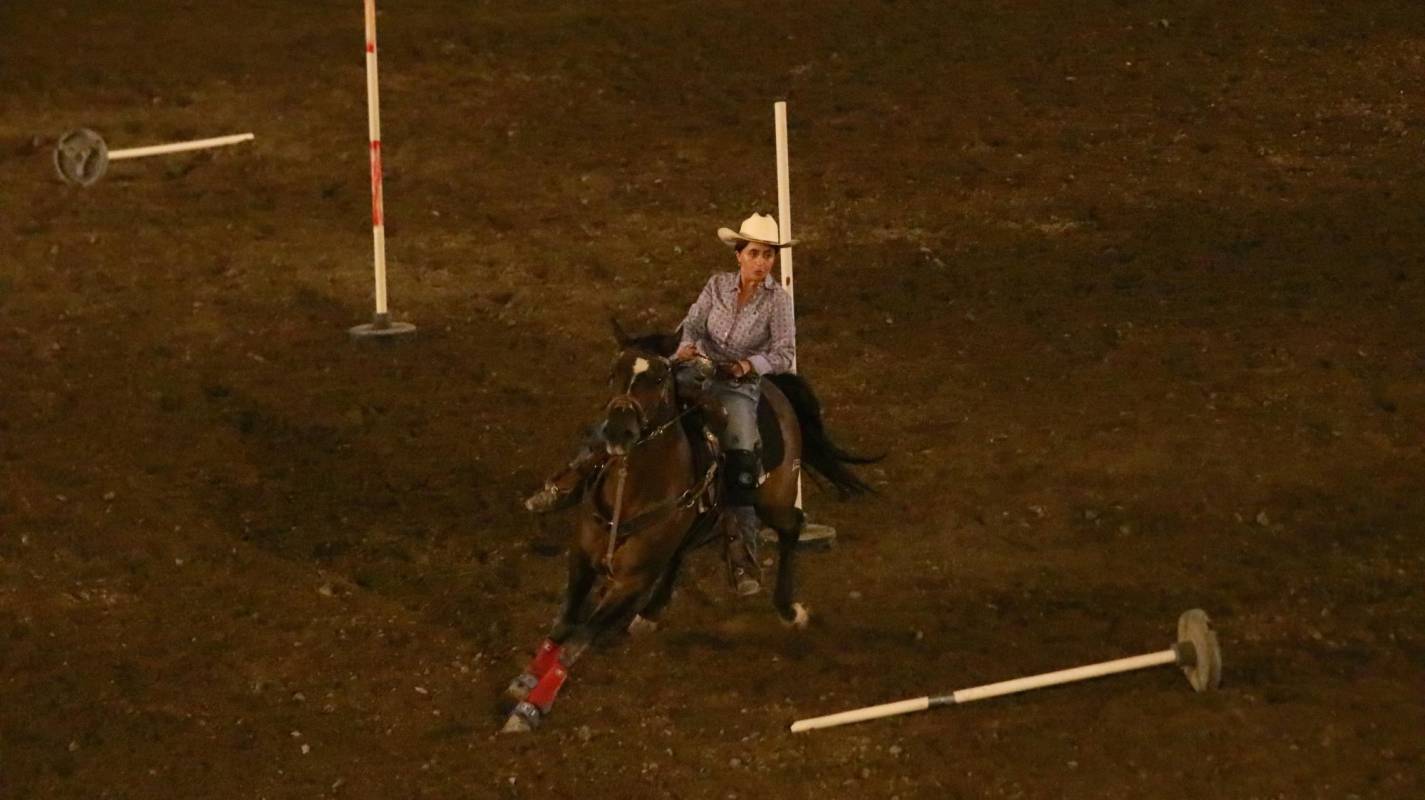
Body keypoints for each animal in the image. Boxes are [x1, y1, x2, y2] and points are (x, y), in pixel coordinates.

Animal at [501, 322, 877, 730]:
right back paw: (651, 613)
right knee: (681, 552)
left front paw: (530, 708)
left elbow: (576, 642)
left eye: (658, 376)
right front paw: (526, 679)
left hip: (774, 500)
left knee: (792, 527)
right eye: (614, 372)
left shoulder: (631, 582)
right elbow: (562, 624)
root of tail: (773, 386)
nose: (617, 432)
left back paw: (787, 608)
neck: (631, 492)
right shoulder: (581, 558)